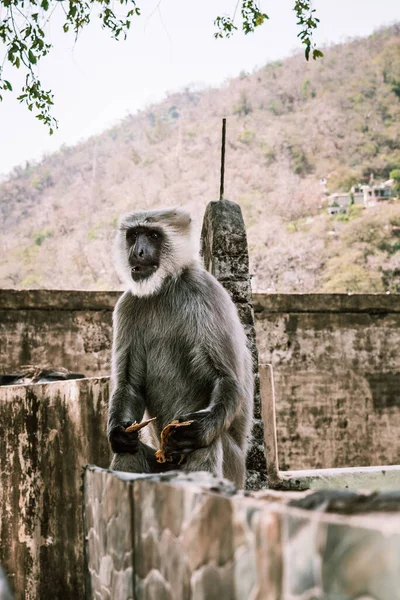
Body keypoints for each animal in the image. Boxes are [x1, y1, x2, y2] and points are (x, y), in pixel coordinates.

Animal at [108, 206, 253, 488]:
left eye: (153, 235)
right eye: (134, 235)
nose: (138, 251)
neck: (165, 286)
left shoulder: (206, 291)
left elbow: (227, 379)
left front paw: (200, 429)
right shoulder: (128, 304)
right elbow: (129, 385)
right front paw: (118, 433)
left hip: (234, 470)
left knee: (205, 446)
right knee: (128, 452)